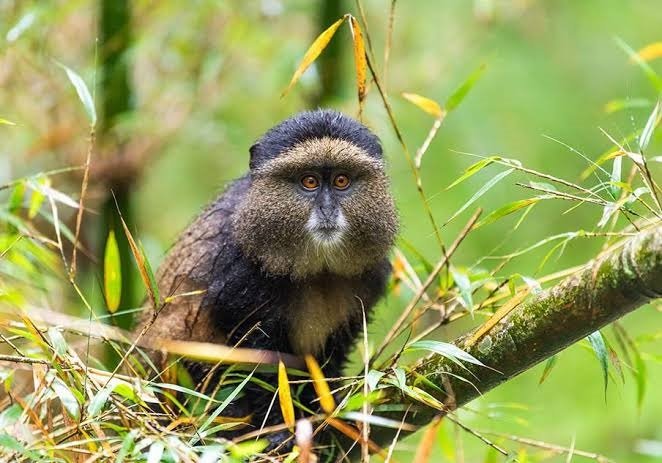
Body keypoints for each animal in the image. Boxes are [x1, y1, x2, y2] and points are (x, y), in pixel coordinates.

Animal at [136, 109, 398, 449]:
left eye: (341, 180)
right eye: (309, 182)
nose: (328, 210)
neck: (317, 269)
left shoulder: (369, 277)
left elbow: (330, 354)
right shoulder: (239, 276)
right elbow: (257, 362)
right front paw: (276, 430)